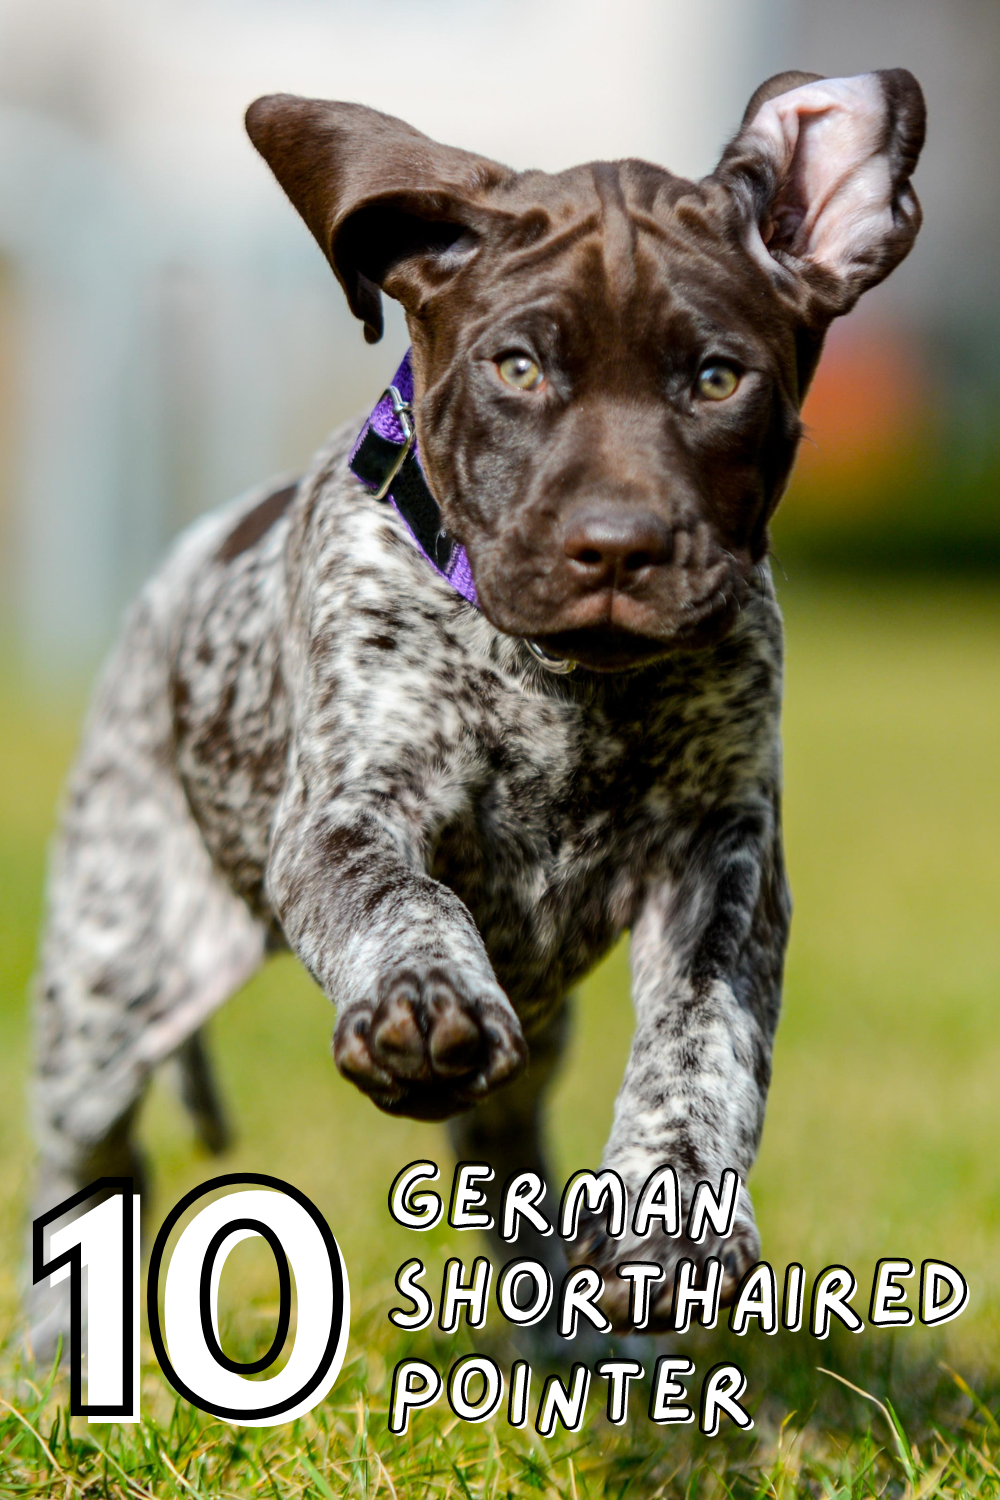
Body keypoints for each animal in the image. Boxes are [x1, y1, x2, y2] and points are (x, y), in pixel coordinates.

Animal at [27, 67, 929, 1350]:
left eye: (716, 378)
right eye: (518, 369)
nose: (618, 547)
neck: (566, 681)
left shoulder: (725, 861)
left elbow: (702, 1039)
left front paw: (671, 1222)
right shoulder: (346, 816)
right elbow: (404, 899)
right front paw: (418, 1002)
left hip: (534, 1033)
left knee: (504, 1153)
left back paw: (551, 1329)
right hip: (110, 981)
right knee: (88, 1153)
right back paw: (58, 1347)